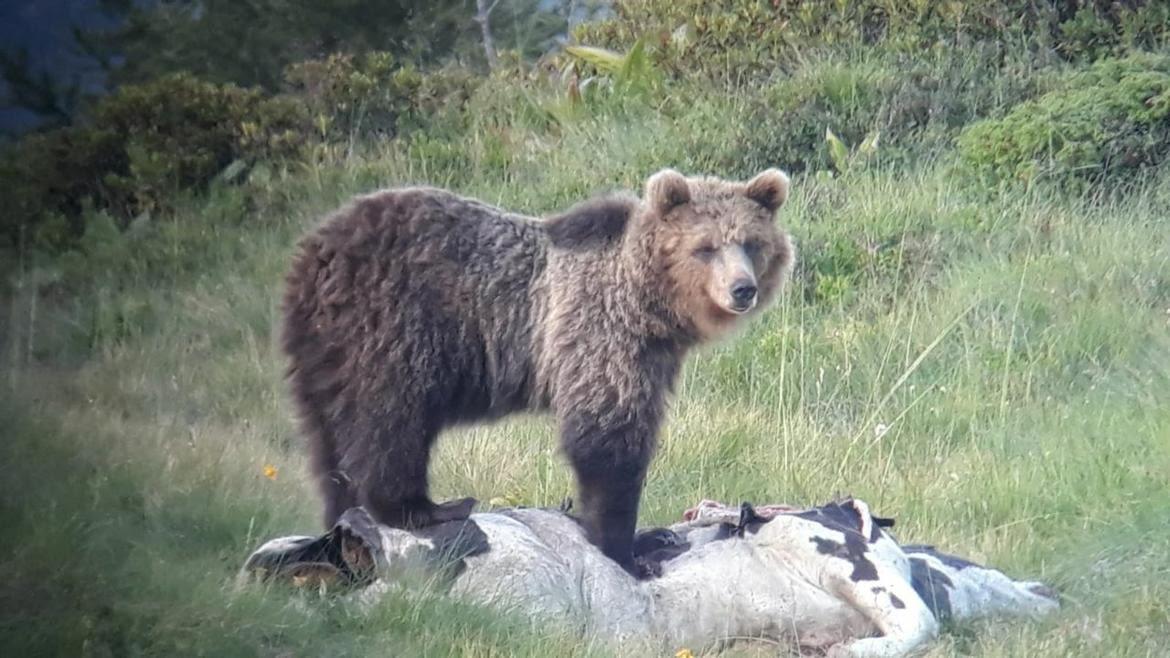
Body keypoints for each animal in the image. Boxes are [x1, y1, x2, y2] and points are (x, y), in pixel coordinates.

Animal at [281, 167, 795, 573]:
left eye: (751, 243)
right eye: (705, 247)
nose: (742, 289)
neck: (649, 303)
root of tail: (315, 252)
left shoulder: (654, 354)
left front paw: (648, 536)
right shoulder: (599, 331)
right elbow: (607, 436)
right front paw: (627, 548)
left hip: (324, 353)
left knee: (328, 439)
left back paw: (344, 514)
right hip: (394, 326)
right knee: (390, 419)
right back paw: (425, 508)